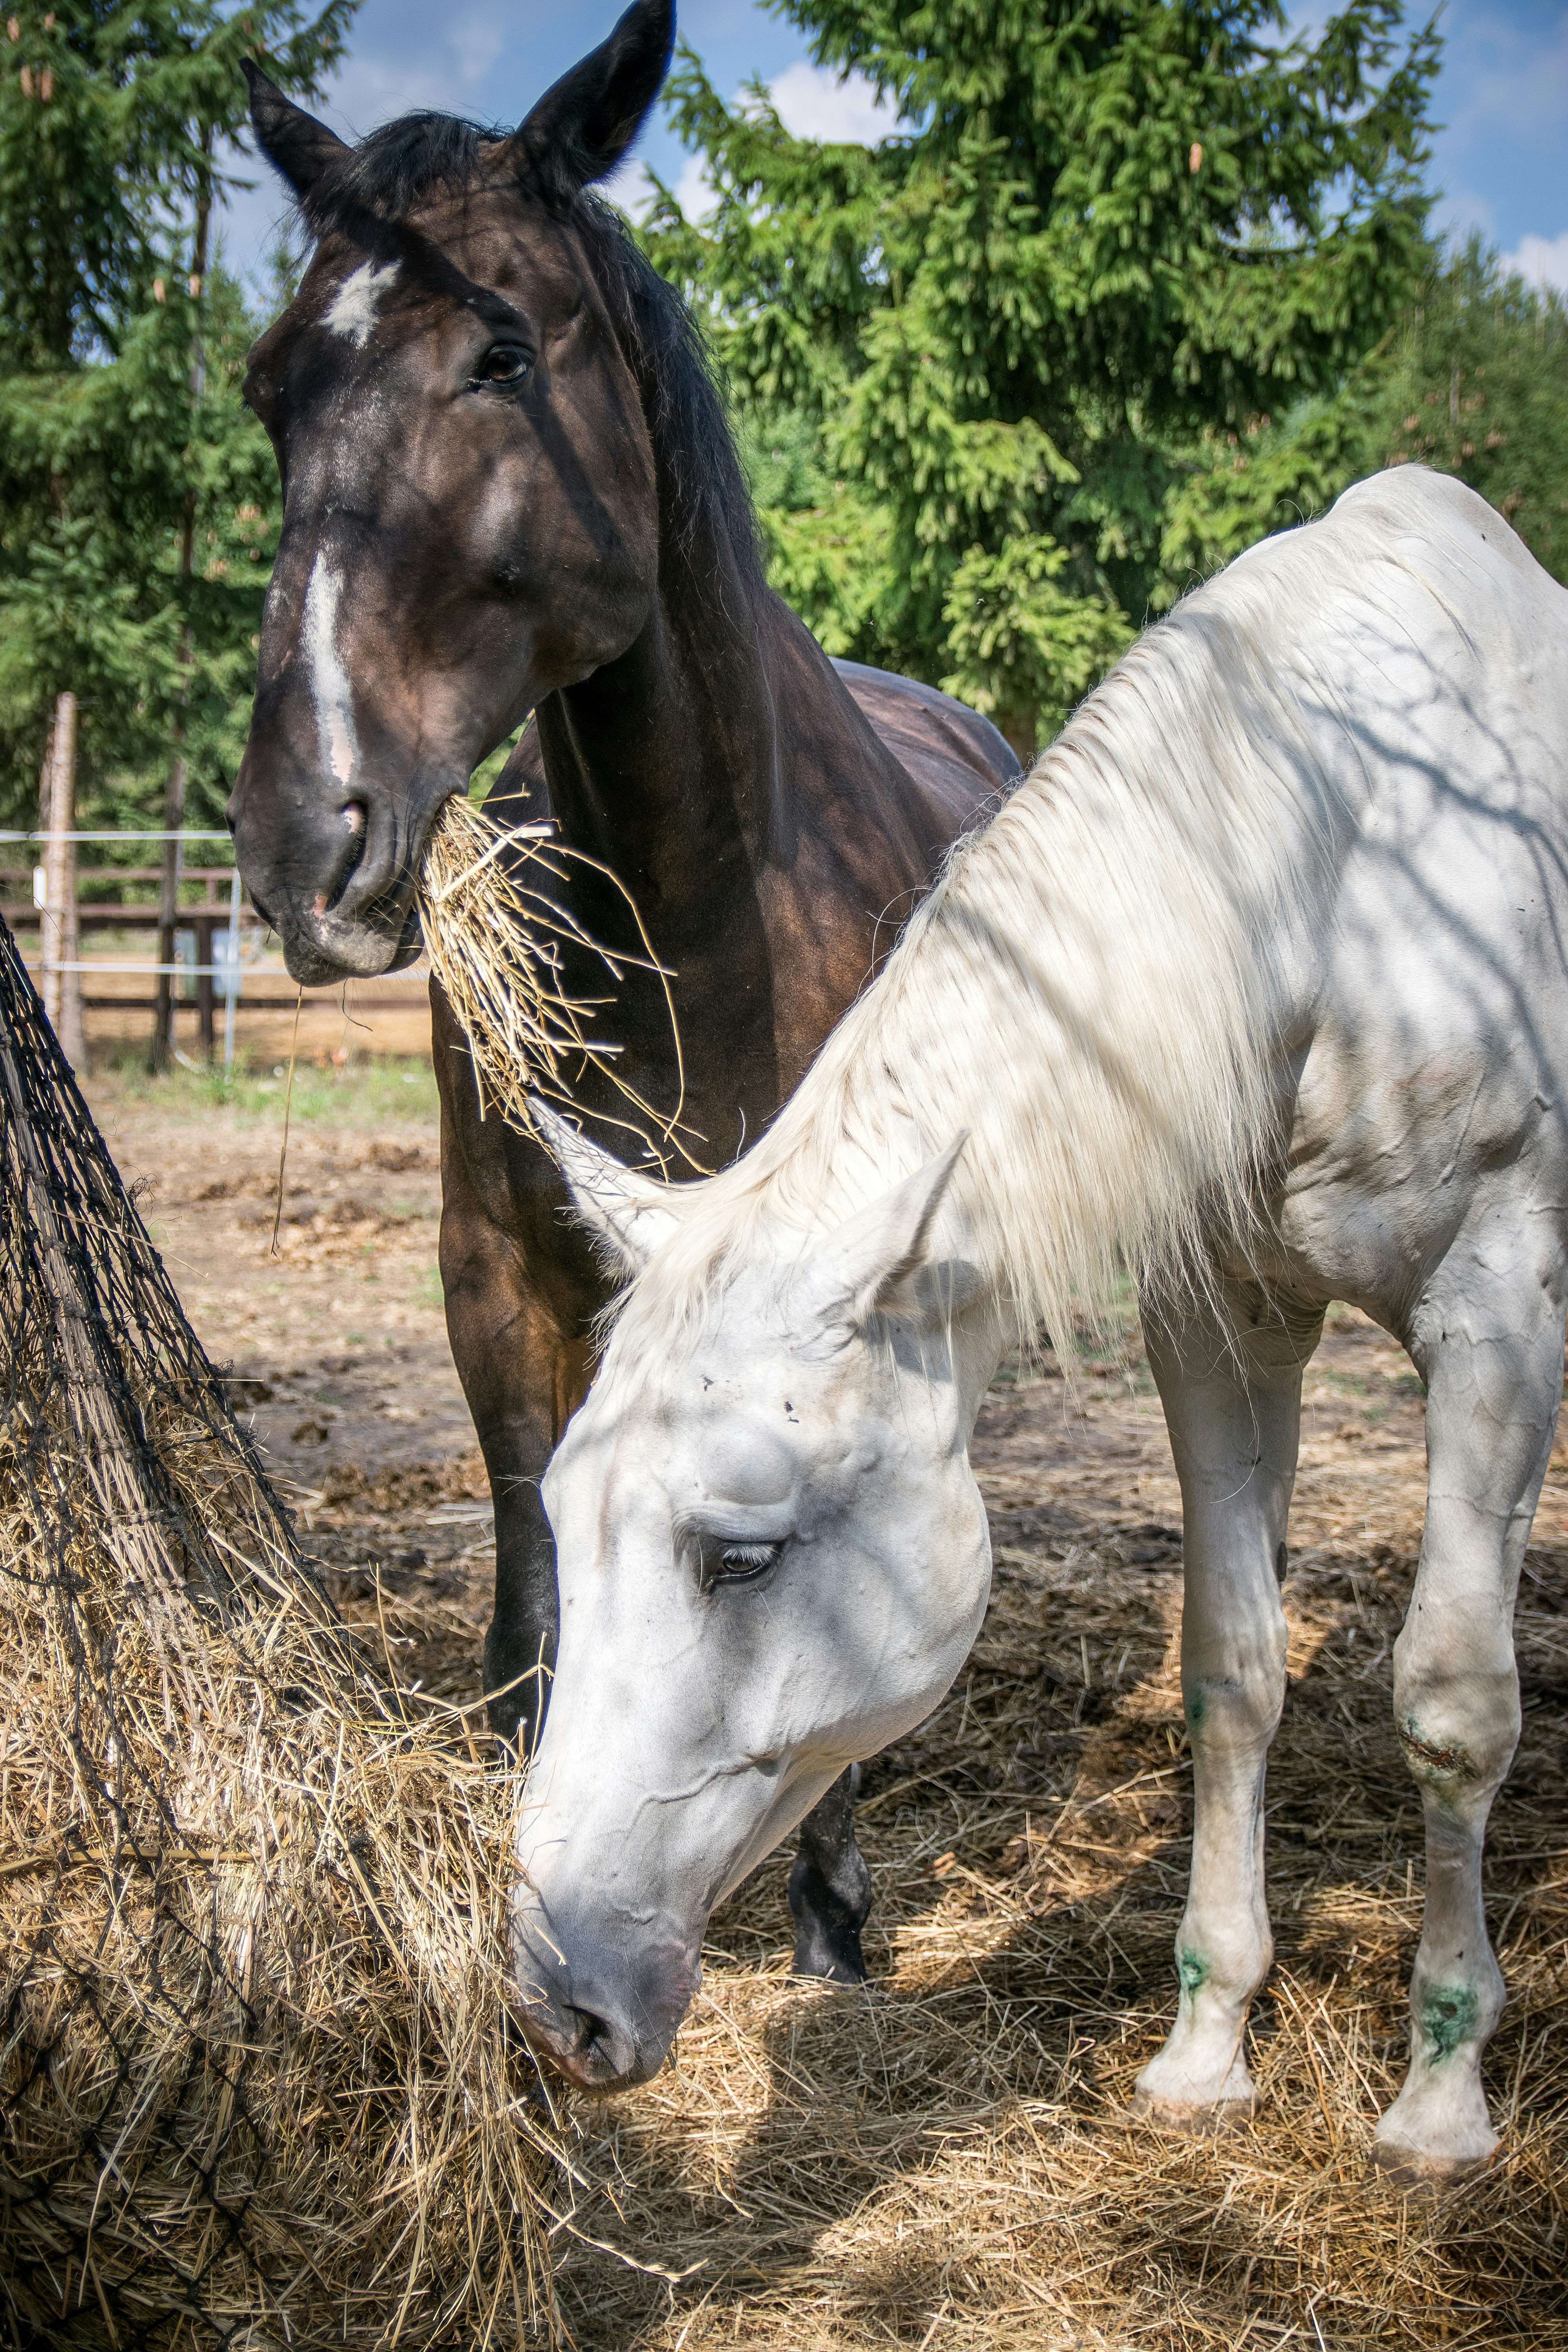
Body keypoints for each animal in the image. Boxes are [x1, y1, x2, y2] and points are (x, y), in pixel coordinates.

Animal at [226, 0, 1018, 1986]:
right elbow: (533, 1570)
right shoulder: (498, 1262)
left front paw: (831, 1904)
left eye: (501, 354)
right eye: (274, 385)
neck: (701, 905)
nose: (300, 833)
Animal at [513, 467, 1568, 2185]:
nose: (553, 2001)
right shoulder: (1217, 1328)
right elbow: (1233, 1671)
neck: (1346, 885)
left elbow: (1454, 1702)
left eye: (739, 1556)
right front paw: (1204, 2051)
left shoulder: (1497, 1318)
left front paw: (1438, 2096)